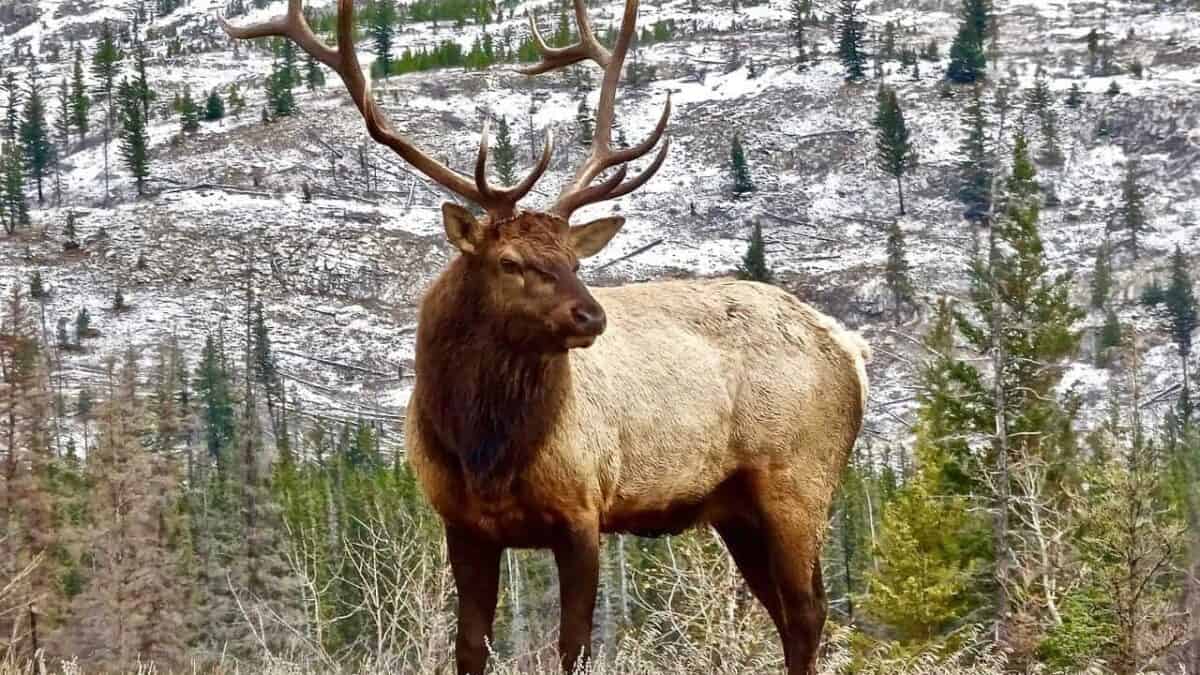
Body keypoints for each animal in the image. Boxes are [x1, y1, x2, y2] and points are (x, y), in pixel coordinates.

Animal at [221, 1, 871, 673]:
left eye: (575, 260)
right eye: (510, 262)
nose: (592, 317)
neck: (484, 450)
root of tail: (852, 350)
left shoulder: (583, 510)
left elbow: (574, 647)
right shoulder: (462, 524)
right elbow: (471, 646)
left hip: (799, 479)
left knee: (807, 612)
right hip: (736, 508)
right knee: (792, 612)